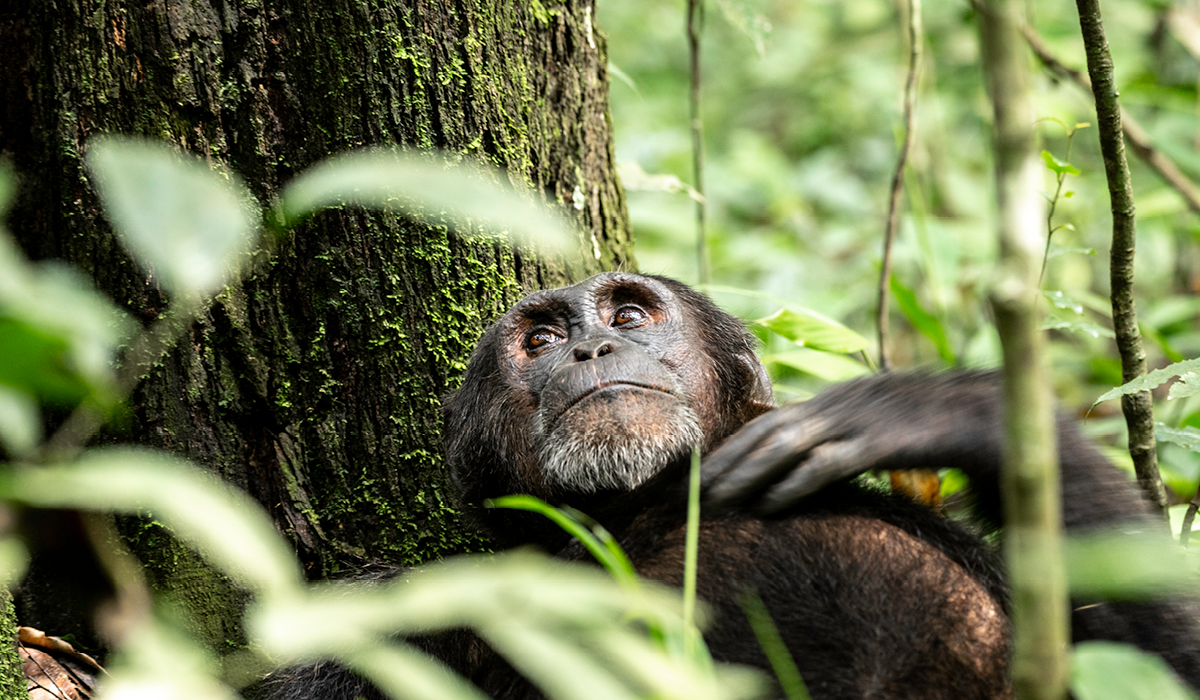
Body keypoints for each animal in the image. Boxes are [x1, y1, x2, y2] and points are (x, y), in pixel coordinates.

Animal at [267, 272, 1200, 700]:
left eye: (630, 314)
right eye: (538, 340)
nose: (591, 347)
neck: (643, 515)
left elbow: (1162, 664)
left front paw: (928, 409)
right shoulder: (400, 614)